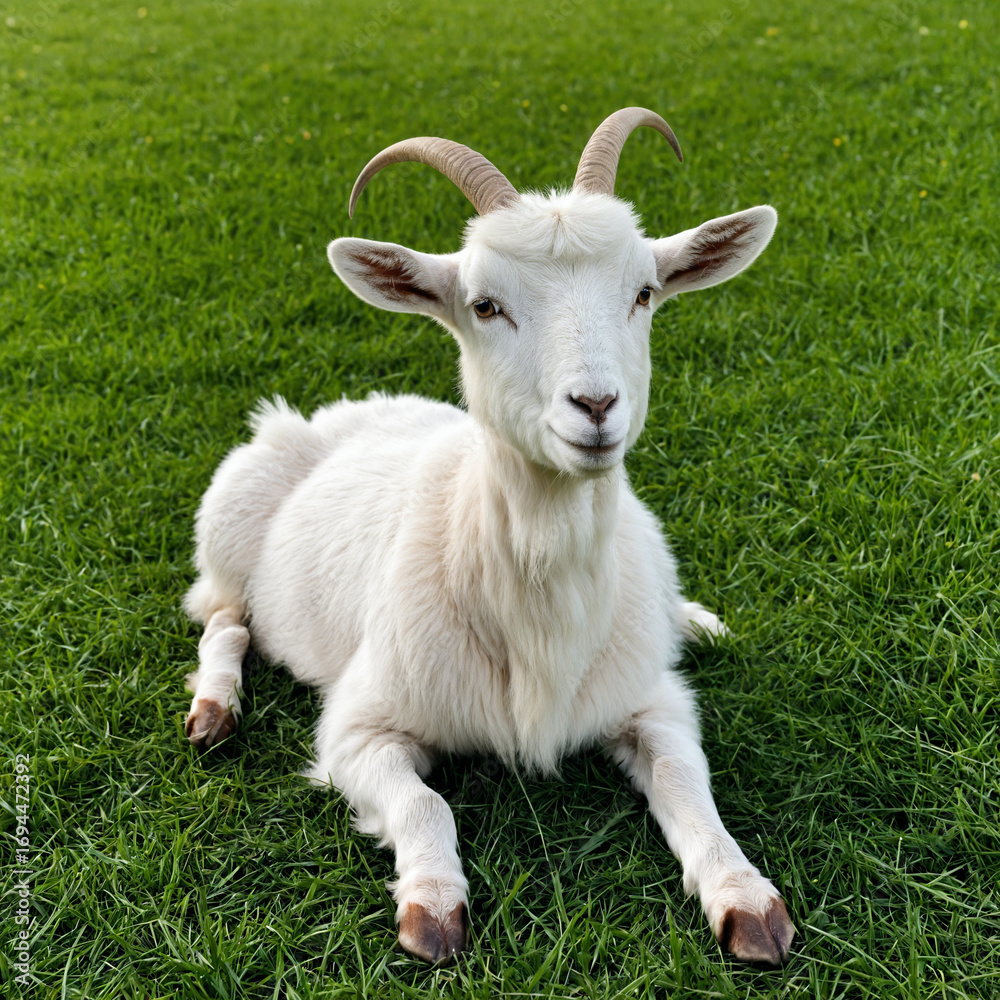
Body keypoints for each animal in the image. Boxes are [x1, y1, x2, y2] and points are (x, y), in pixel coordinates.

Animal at [182, 108, 795, 966]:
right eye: (483, 305)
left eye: (644, 292)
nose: (595, 405)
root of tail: (350, 407)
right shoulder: (357, 726)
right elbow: (424, 804)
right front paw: (434, 906)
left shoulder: (652, 699)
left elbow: (684, 779)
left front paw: (746, 898)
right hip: (227, 519)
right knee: (224, 621)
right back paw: (214, 709)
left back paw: (695, 619)